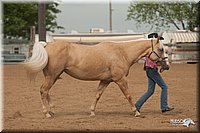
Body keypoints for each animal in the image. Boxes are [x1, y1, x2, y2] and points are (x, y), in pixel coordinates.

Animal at [24, 35, 170, 117]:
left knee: (46, 92)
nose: (167, 65)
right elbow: (128, 95)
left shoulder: (105, 81)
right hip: (52, 76)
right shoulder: (120, 80)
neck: (122, 52)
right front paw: (136, 112)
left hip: (53, 76)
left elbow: (97, 95)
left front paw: (92, 112)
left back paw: (52, 111)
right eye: (161, 49)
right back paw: (47, 113)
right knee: (43, 91)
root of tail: (47, 45)